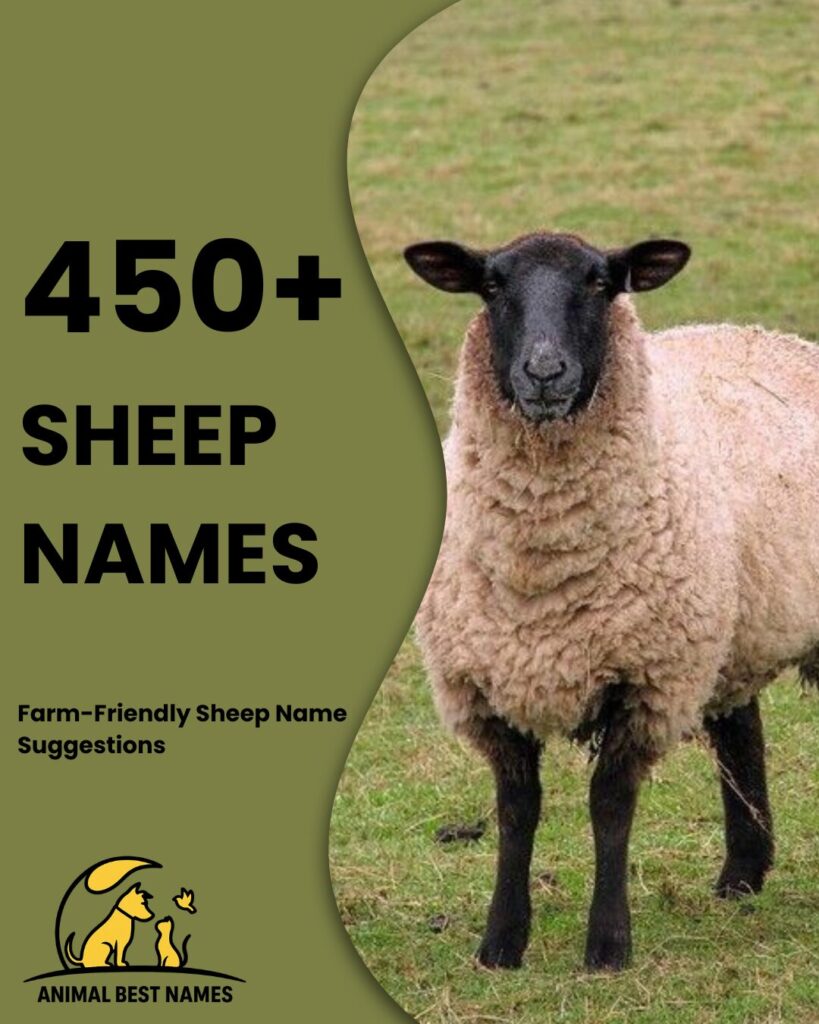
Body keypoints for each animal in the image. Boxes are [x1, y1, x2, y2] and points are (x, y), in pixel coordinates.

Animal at [404, 231, 819, 972]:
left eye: (601, 284)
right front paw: (500, 943)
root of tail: (780, 338)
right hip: (726, 630)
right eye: (492, 286)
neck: (541, 564)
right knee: (739, 728)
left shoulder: (645, 678)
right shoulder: (484, 683)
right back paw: (741, 875)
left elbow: (609, 806)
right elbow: (517, 809)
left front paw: (606, 946)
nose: (544, 372)